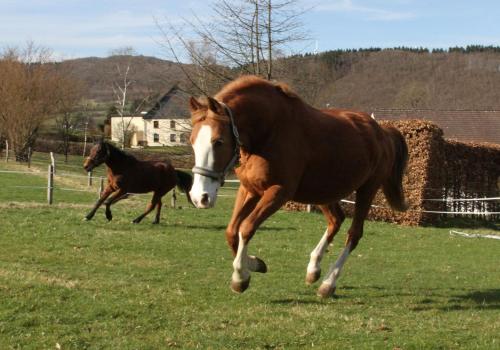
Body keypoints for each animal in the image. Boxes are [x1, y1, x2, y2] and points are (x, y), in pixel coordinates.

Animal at [189, 76, 408, 298]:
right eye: (192, 141)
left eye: (218, 141)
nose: (200, 197)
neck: (270, 131)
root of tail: (383, 132)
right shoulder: (249, 189)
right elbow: (231, 231)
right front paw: (255, 264)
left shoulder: (279, 192)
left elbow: (246, 228)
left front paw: (240, 277)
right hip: (323, 191)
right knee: (336, 220)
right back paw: (313, 269)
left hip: (367, 189)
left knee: (354, 234)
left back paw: (328, 283)